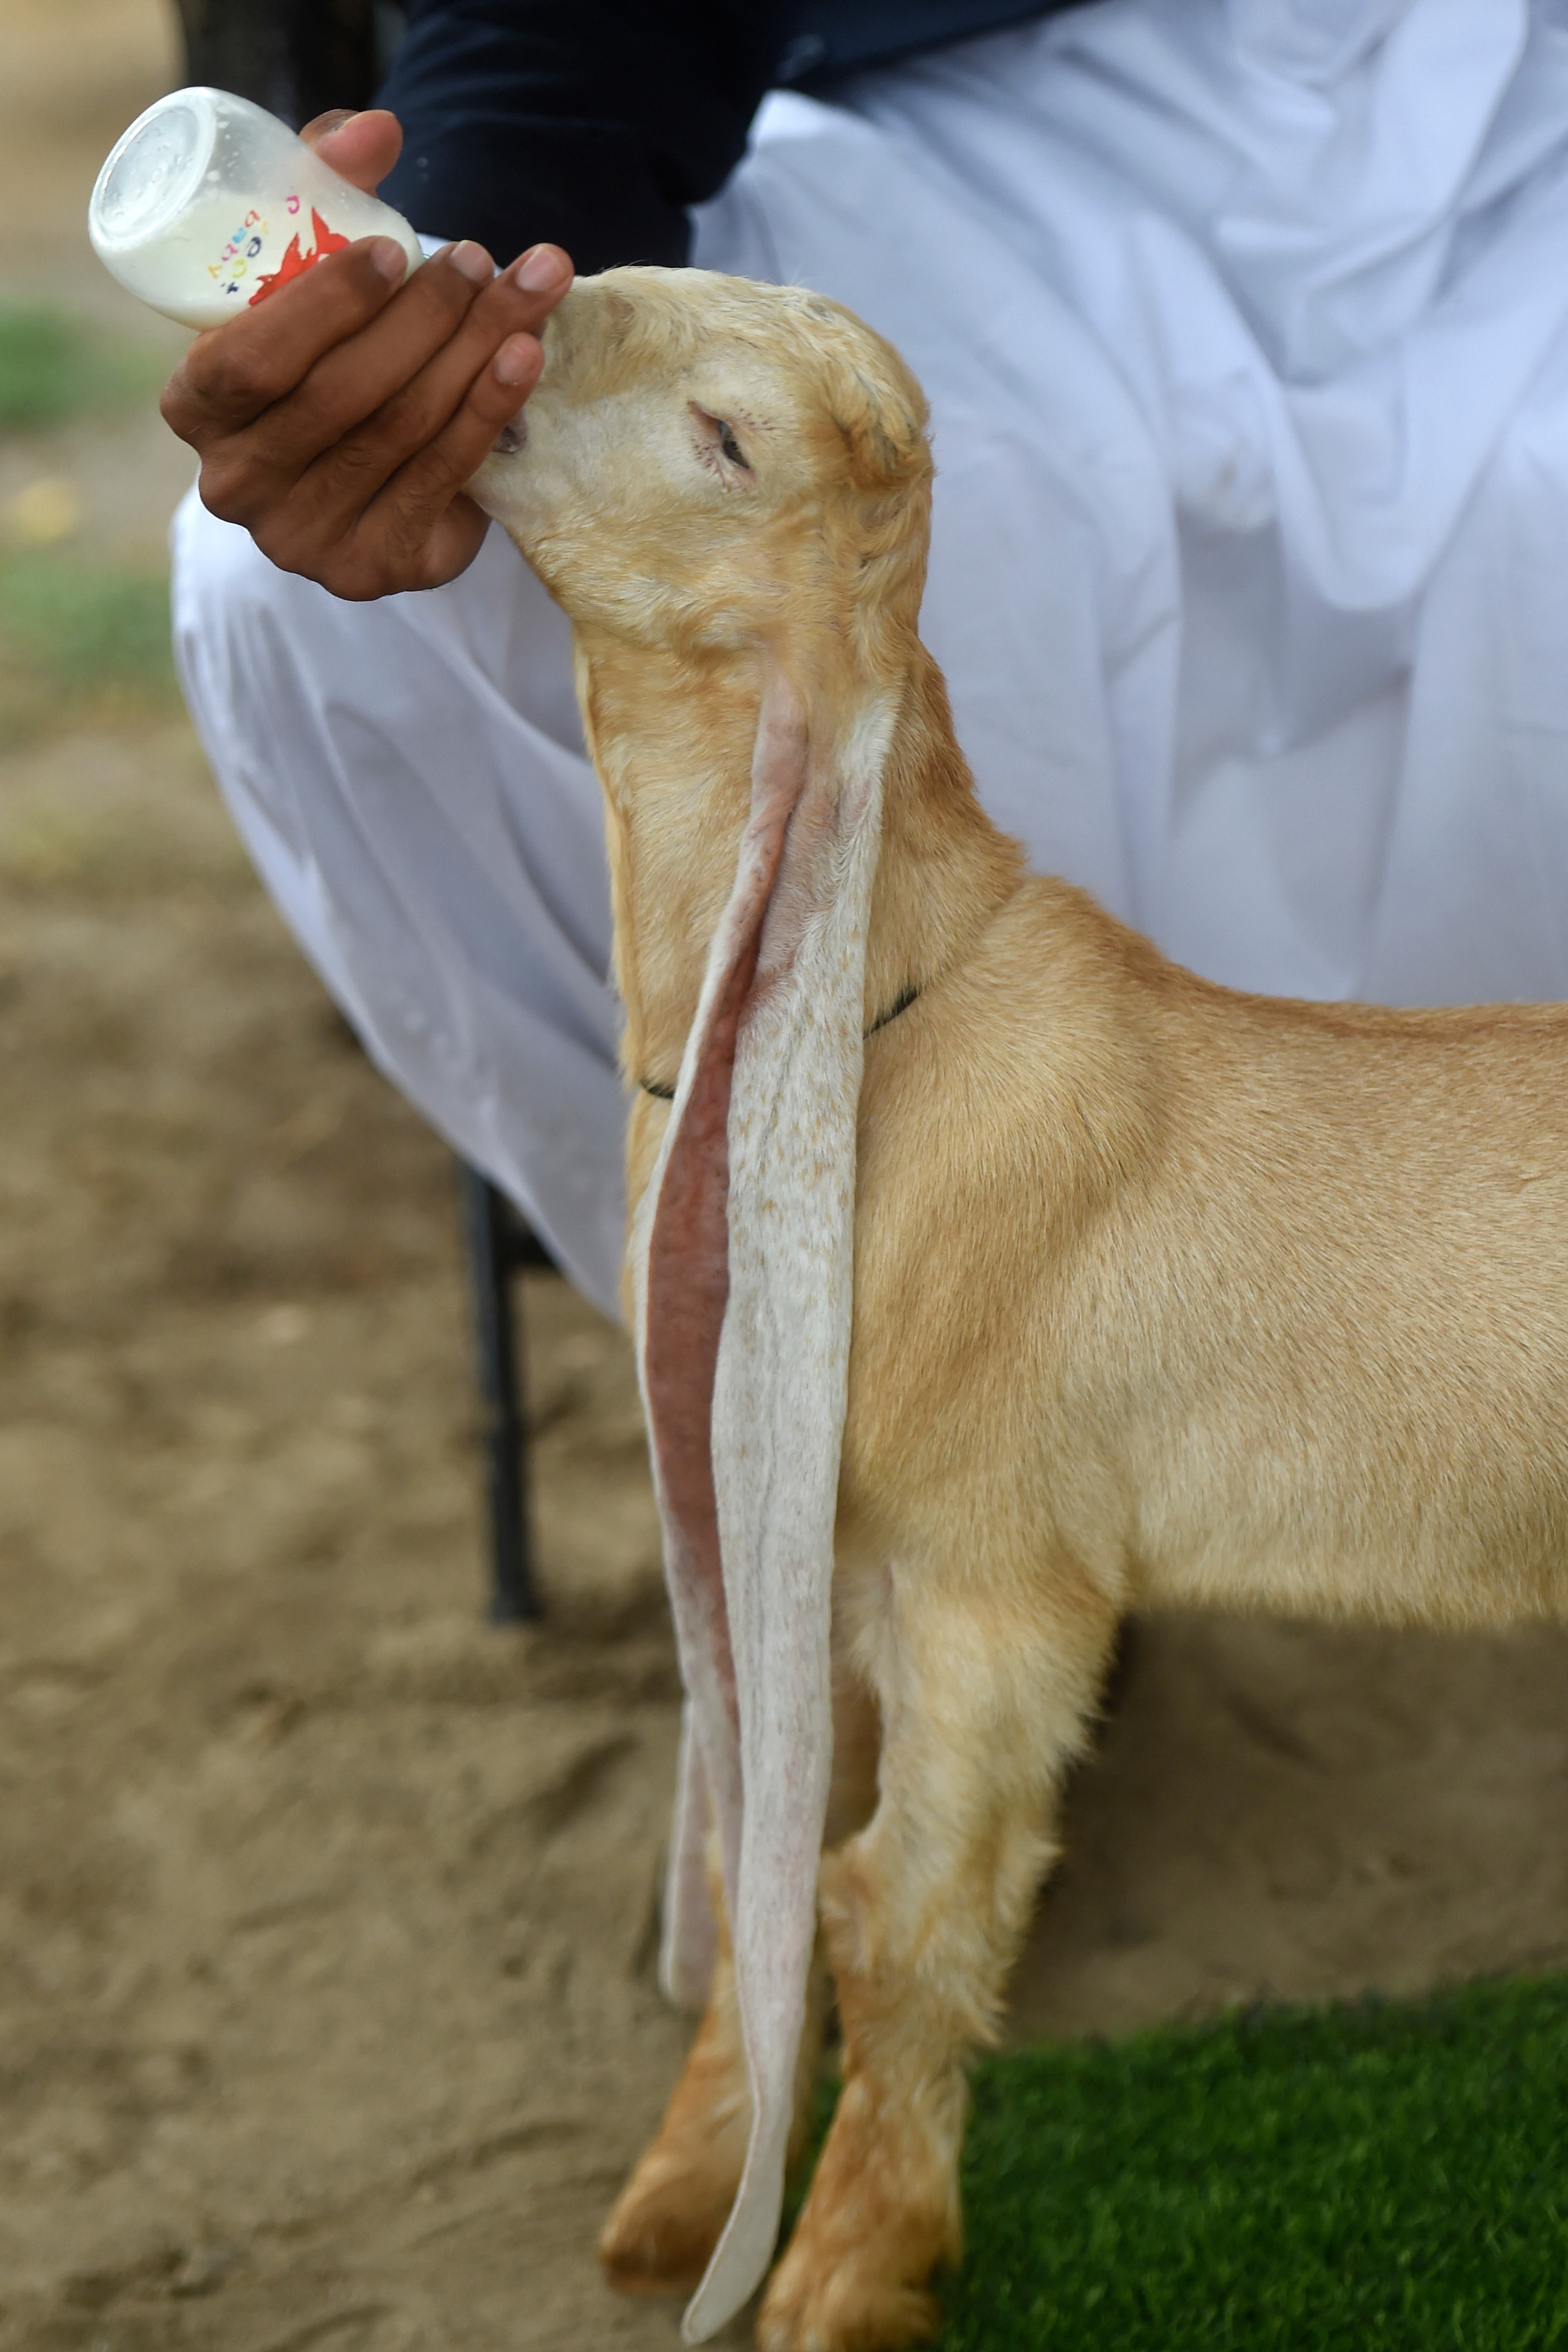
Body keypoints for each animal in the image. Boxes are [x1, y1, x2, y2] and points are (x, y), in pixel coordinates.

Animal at [472, 267, 1568, 2342]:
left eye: (724, 433)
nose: (501, 312)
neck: (876, 1036)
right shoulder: (810, 1536)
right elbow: (759, 1859)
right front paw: (682, 2197)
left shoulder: (996, 1577)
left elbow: (893, 1912)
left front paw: (842, 2274)